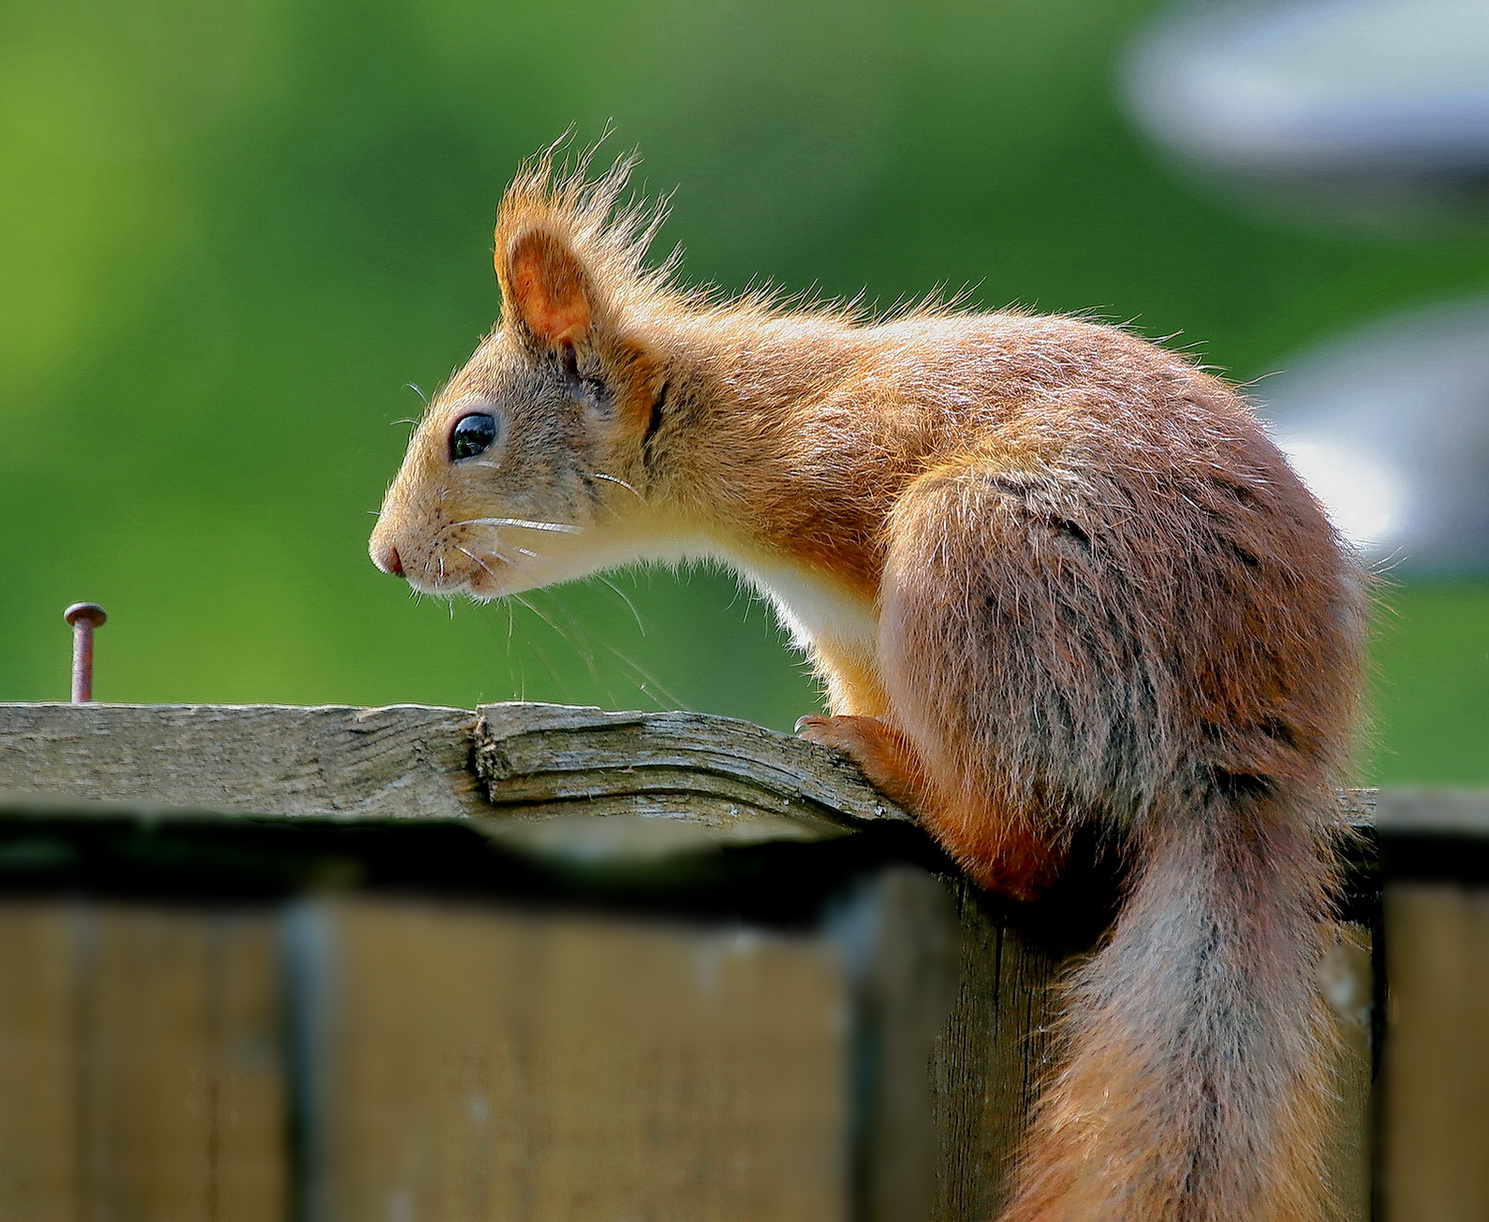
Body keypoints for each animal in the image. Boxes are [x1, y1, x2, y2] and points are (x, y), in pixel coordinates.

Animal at [369, 148, 1363, 1214]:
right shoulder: (846, 638)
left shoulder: (856, 467)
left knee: (1015, 847)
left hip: (973, 560)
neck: (722, 419)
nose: (387, 555)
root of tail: (1246, 751)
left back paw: (902, 772)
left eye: (472, 434)